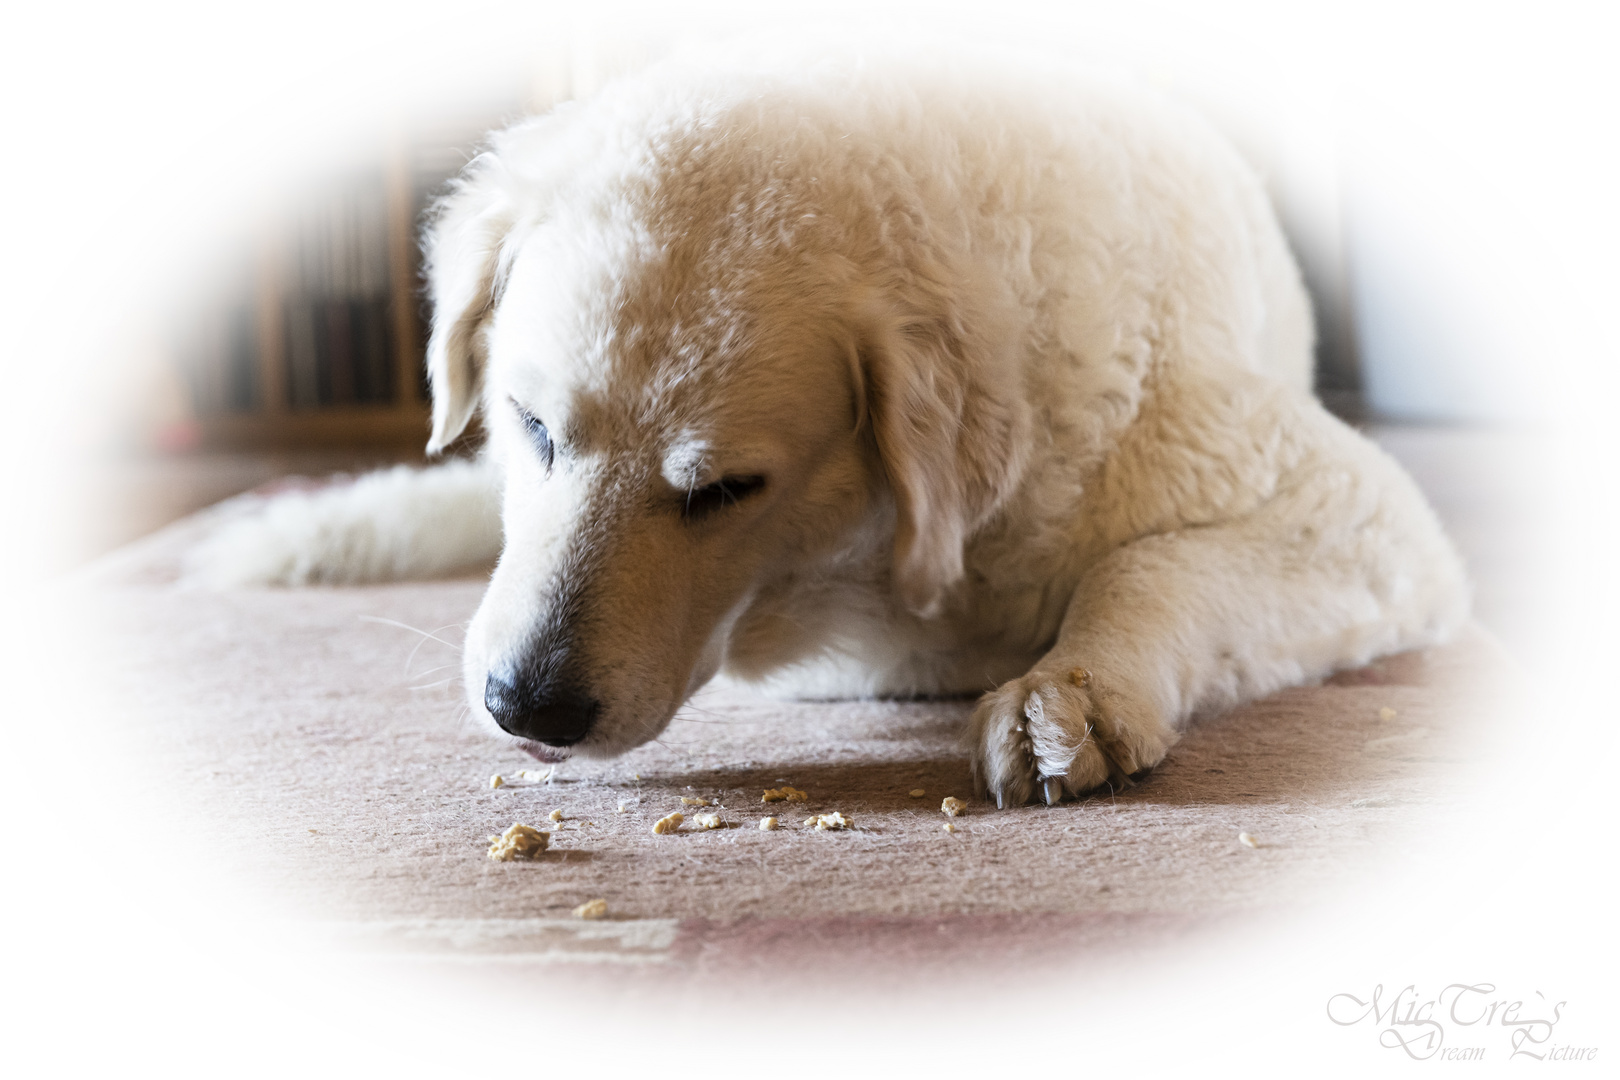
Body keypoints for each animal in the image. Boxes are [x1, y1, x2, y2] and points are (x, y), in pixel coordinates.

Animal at [196, 46, 1477, 806]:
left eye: (723, 490)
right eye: (532, 427)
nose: (528, 706)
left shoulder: (1357, 518)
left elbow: (1152, 568)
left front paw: (1070, 693)